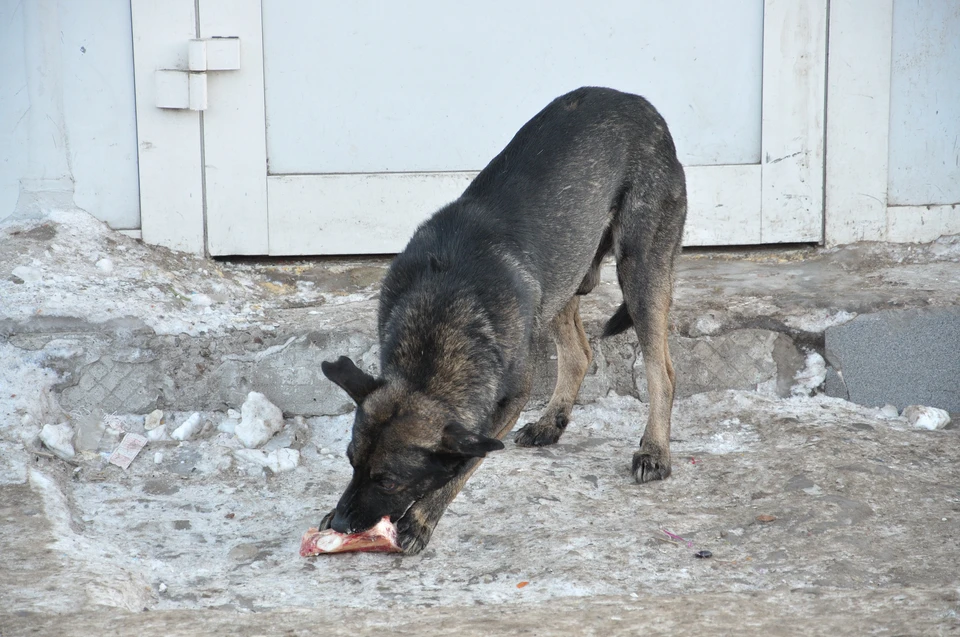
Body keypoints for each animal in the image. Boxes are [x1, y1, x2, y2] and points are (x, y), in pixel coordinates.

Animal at [318, 87, 688, 556]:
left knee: (663, 371)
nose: (342, 521)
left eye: (388, 481)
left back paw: (655, 449)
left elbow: (465, 463)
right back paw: (551, 422)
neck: (440, 320)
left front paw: (421, 520)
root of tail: (641, 104)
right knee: (579, 353)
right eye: (351, 463)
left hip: (640, 270)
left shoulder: (509, 400)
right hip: (559, 274)